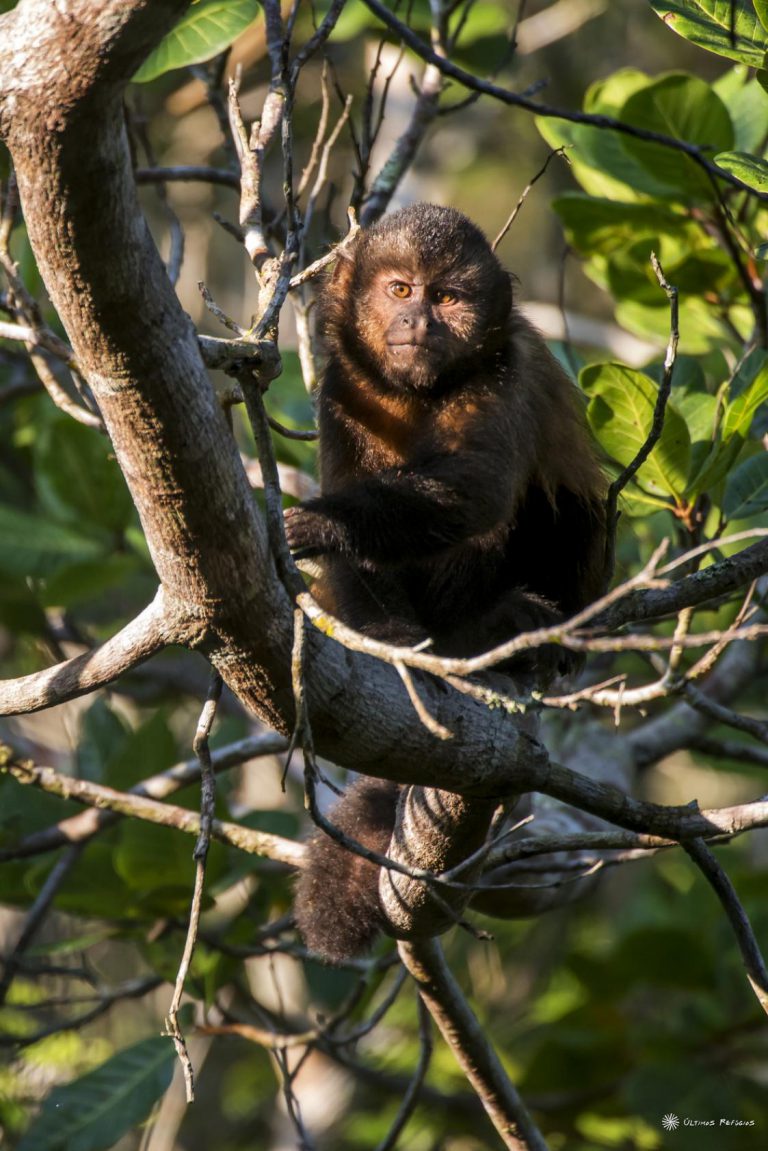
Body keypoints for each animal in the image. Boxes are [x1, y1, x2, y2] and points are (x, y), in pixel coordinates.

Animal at [287, 203, 606, 962]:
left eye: (448, 297)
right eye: (400, 290)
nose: (418, 320)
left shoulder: (506, 369)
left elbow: (477, 490)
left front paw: (323, 525)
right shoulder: (340, 387)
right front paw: (396, 641)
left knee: (549, 501)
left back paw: (497, 630)